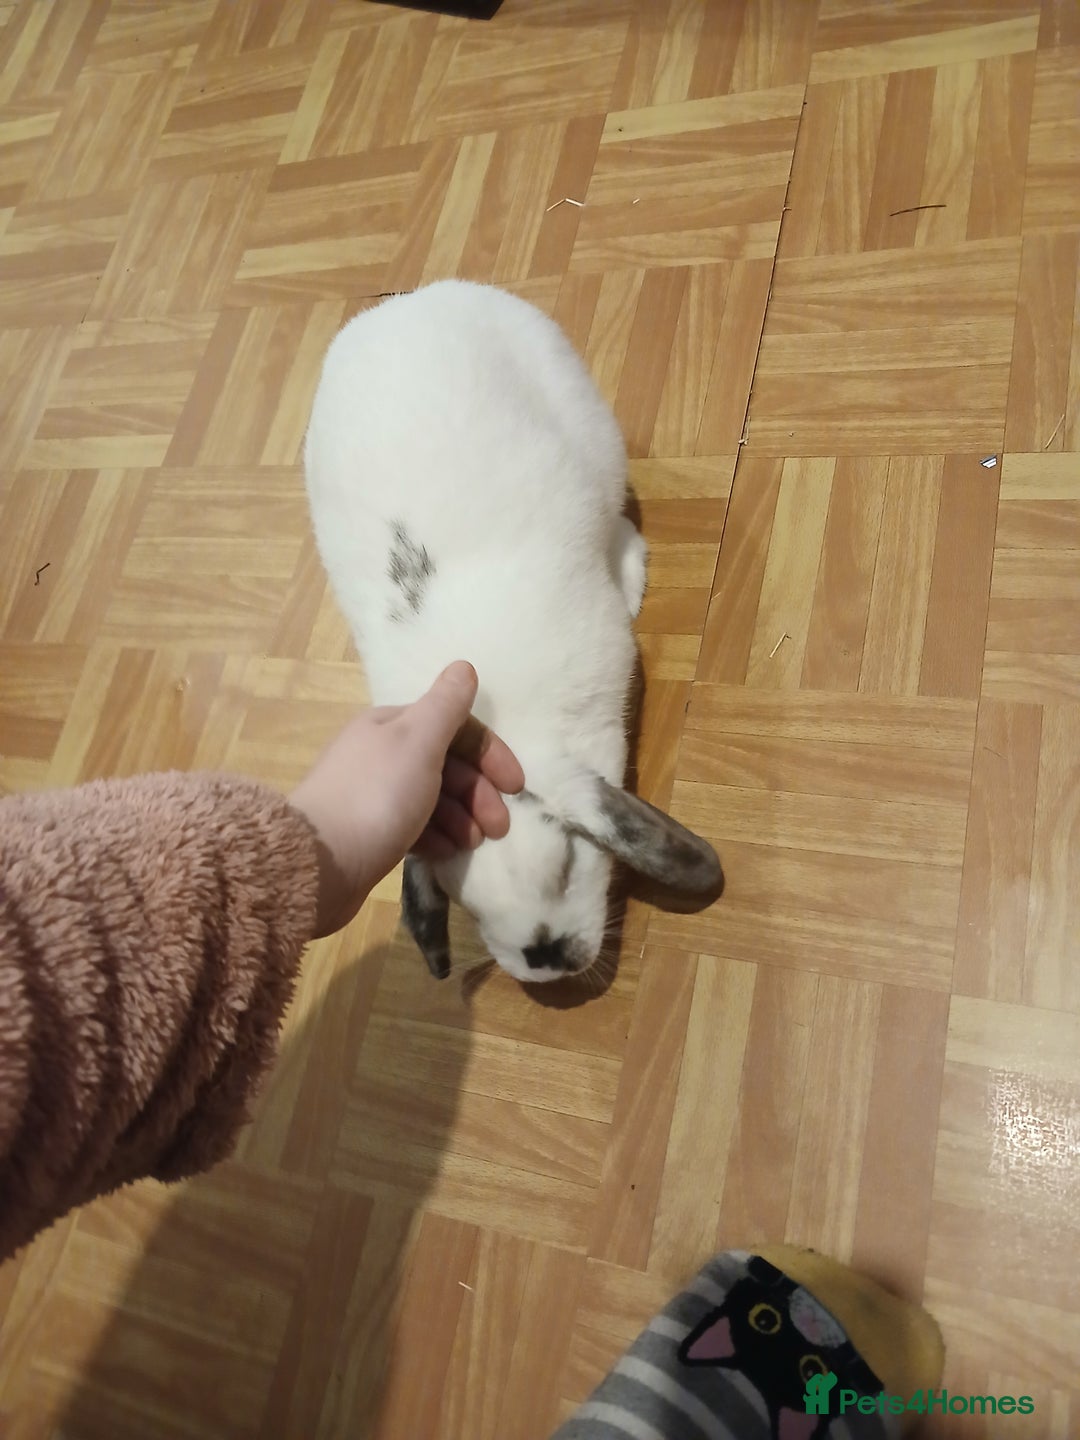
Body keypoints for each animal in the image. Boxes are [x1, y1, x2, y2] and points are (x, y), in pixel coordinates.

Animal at [303, 279, 722, 983]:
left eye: (569, 864)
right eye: (468, 910)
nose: (545, 955)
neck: (511, 731)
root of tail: (411, 302)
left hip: (591, 428)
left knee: (614, 514)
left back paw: (630, 572)